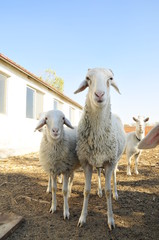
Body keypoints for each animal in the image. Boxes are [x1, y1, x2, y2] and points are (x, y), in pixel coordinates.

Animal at [74, 68, 126, 231]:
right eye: (87, 78)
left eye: (110, 78)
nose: (99, 94)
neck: (97, 135)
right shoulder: (86, 162)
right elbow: (86, 190)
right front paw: (82, 218)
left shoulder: (109, 162)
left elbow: (108, 191)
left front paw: (111, 220)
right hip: (97, 160)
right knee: (98, 173)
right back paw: (99, 190)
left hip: (115, 159)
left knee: (114, 177)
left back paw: (116, 193)